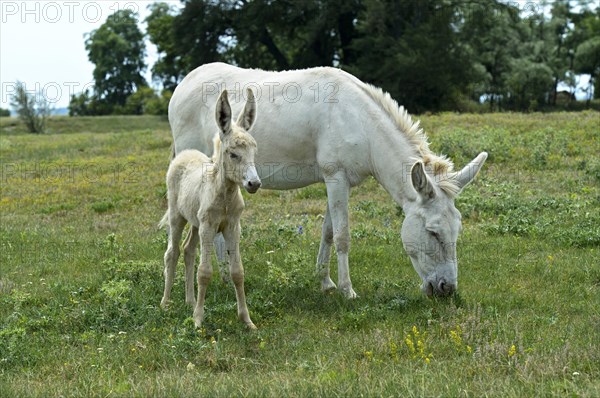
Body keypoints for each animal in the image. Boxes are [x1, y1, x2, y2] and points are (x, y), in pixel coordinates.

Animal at [159, 90, 260, 330]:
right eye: (233, 154)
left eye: (254, 150)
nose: (254, 183)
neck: (224, 196)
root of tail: (184, 154)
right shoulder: (208, 226)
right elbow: (204, 272)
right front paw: (198, 321)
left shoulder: (232, 226)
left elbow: (237, 272)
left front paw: (247, 320)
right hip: (178, 216)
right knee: (172, 253)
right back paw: (165, 303)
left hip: (195, 222)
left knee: (188, 250)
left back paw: (190, 300)